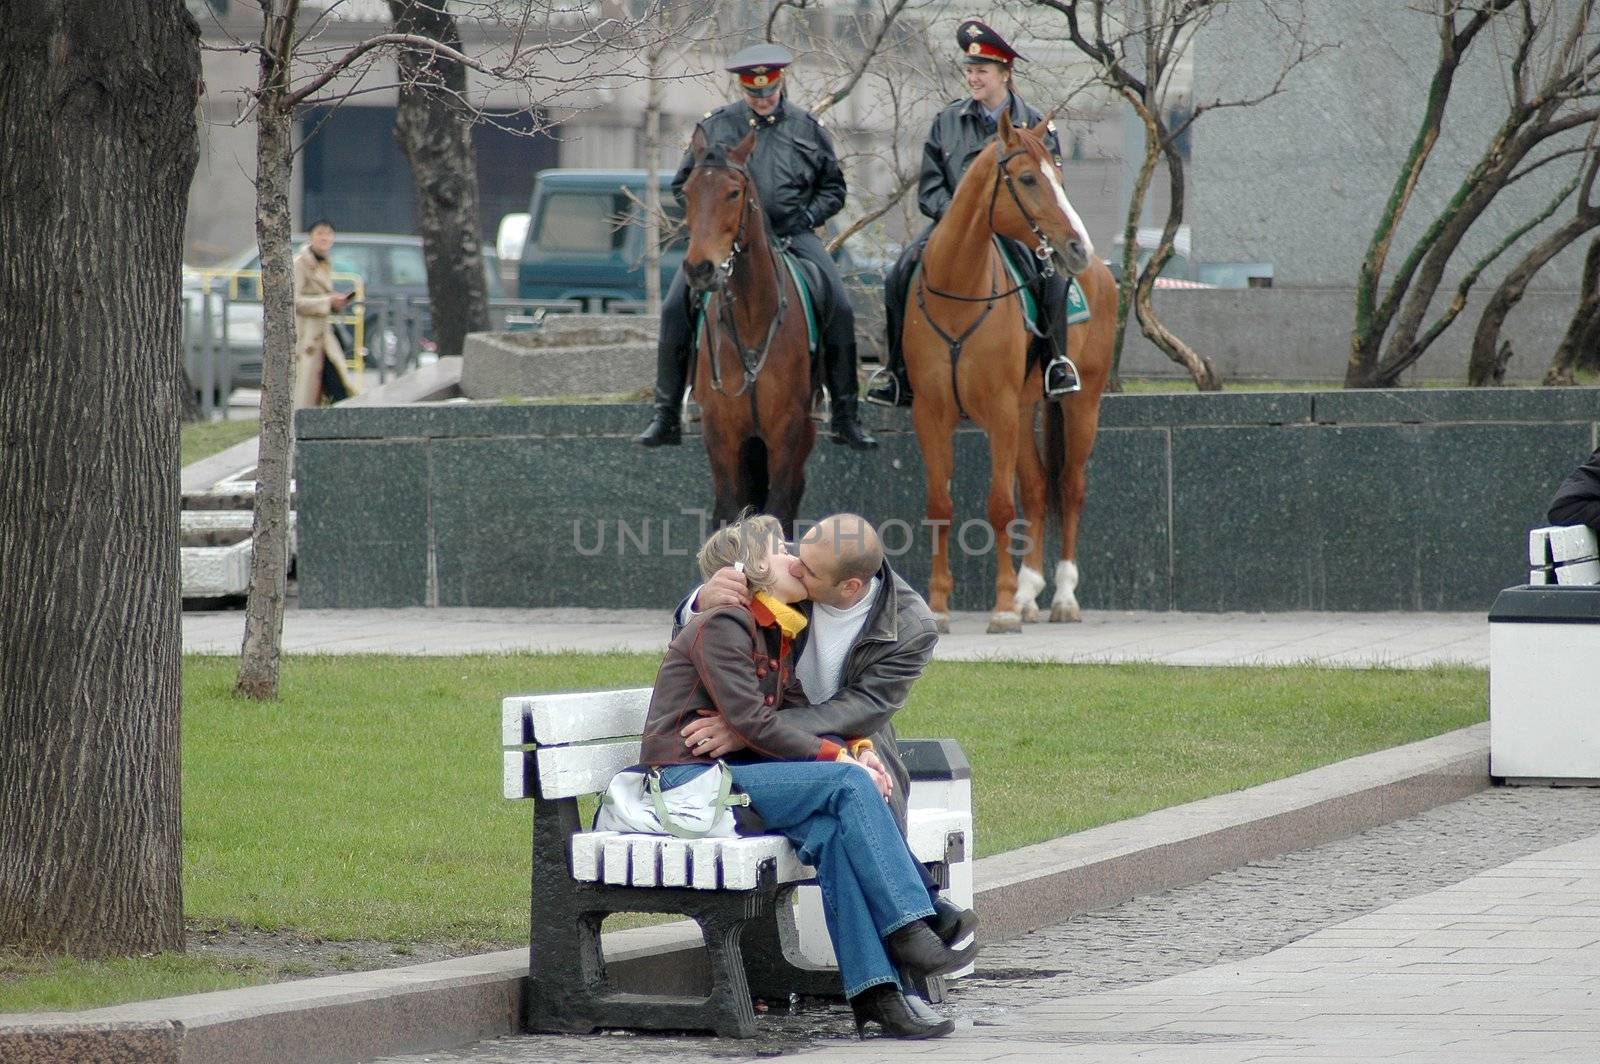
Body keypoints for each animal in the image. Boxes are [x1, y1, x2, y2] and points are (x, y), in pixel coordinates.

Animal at [681, 128, 819, 534]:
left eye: (733, 192)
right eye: (687, 191)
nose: (700, 269)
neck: (751, 317)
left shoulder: (787, 432)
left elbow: (778, 510)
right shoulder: (721, 434)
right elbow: (730, 508)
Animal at [908, 112, 1120, 630]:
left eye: (1061, 177)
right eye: (1027, 179)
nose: (1077, 247)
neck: (958, 294)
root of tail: (1103, 272)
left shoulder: (1000, 413)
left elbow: (1001, 505)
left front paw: (1002, 607)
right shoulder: (931, 414)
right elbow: (939, 504)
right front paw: (939, 606)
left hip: (1081, 405)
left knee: (1070, 486)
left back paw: (1062, 596)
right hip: (1025, 414)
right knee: (1038, 487)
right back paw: (1029, 592)